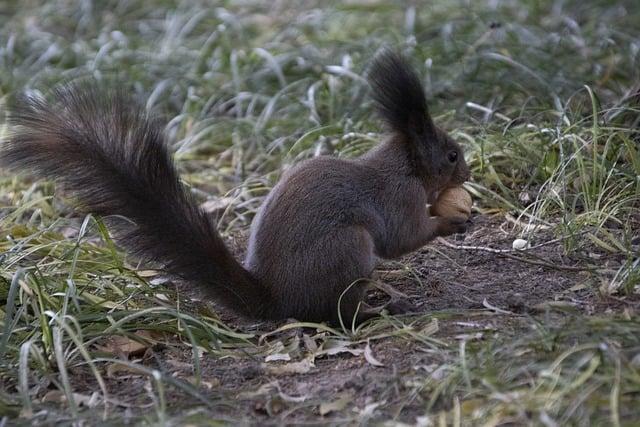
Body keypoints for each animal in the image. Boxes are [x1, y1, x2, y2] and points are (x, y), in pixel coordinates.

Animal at [0, 50, 470, 324]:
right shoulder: (398, 197)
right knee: (337, 314)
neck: (405, 167)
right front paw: (450, 222)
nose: (467, 174)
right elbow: (402, 237)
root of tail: (280, 302)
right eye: (451, 155)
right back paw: (378, 309)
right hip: (347, 250)